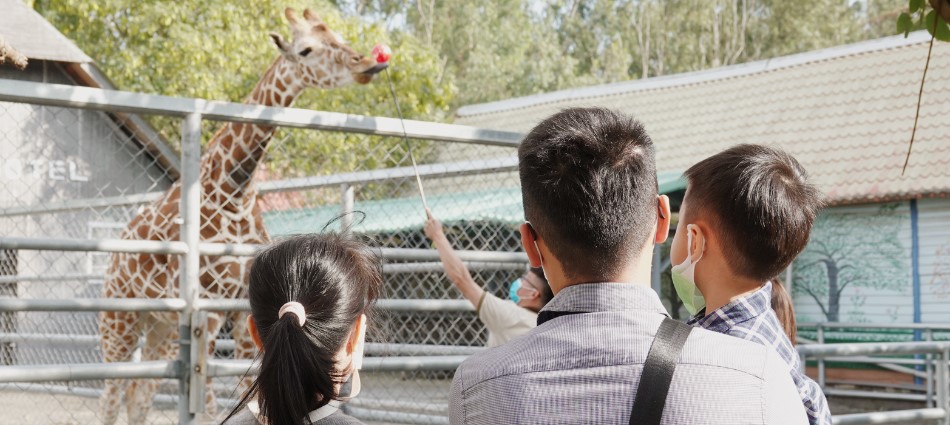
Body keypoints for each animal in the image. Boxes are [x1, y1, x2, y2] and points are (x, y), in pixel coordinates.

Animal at [98, 8, 388, 422]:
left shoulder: (239, 306)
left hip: (161, 325)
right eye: (306, 49)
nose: (366, 63)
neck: (234, 191)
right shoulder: (208, 307)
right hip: (120, 314)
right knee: (111, 392)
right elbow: (208, 403)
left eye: (338, 36)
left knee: (138, 395)